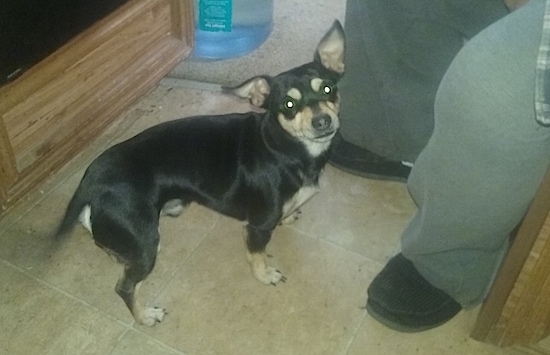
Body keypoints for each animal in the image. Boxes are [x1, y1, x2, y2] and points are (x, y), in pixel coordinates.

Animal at [57, 21, 344, 328]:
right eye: (288, 105)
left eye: (328, 89)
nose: (322, 121)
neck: (285, 147)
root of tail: (92, 178)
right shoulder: (258, 226)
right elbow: (257, 256)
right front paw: (265, 275)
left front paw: (289, 215)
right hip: (147, 245)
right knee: (125, 287)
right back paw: (145, 316)